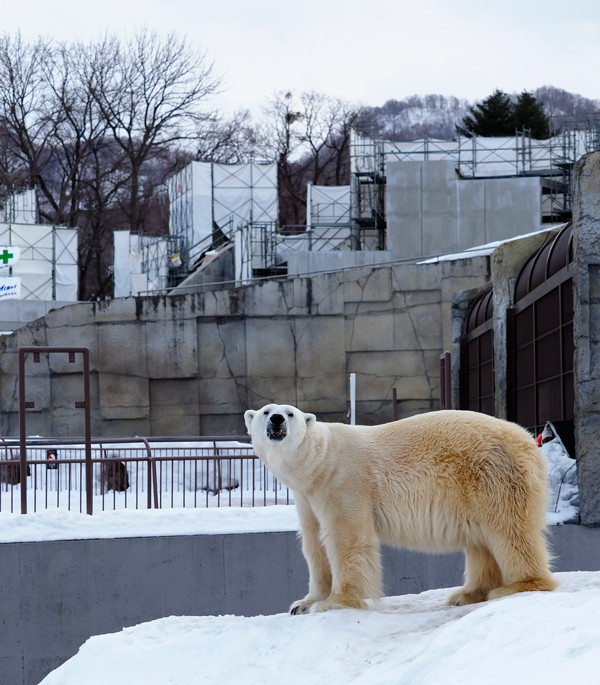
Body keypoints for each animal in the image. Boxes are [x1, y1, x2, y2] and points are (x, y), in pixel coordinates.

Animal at [244, 404, 556, 612]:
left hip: (493, 474)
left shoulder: (344, 480)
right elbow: (314, 544)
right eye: (265, 411)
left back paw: (519, 585)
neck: (320, 461)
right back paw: (466, 594)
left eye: (290, 413)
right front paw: (304, 603)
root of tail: (529, 441)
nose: (276, 418)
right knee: (482, 541)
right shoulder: (307, 497)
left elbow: (347, 539)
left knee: (509, 529)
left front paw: (336, 602)